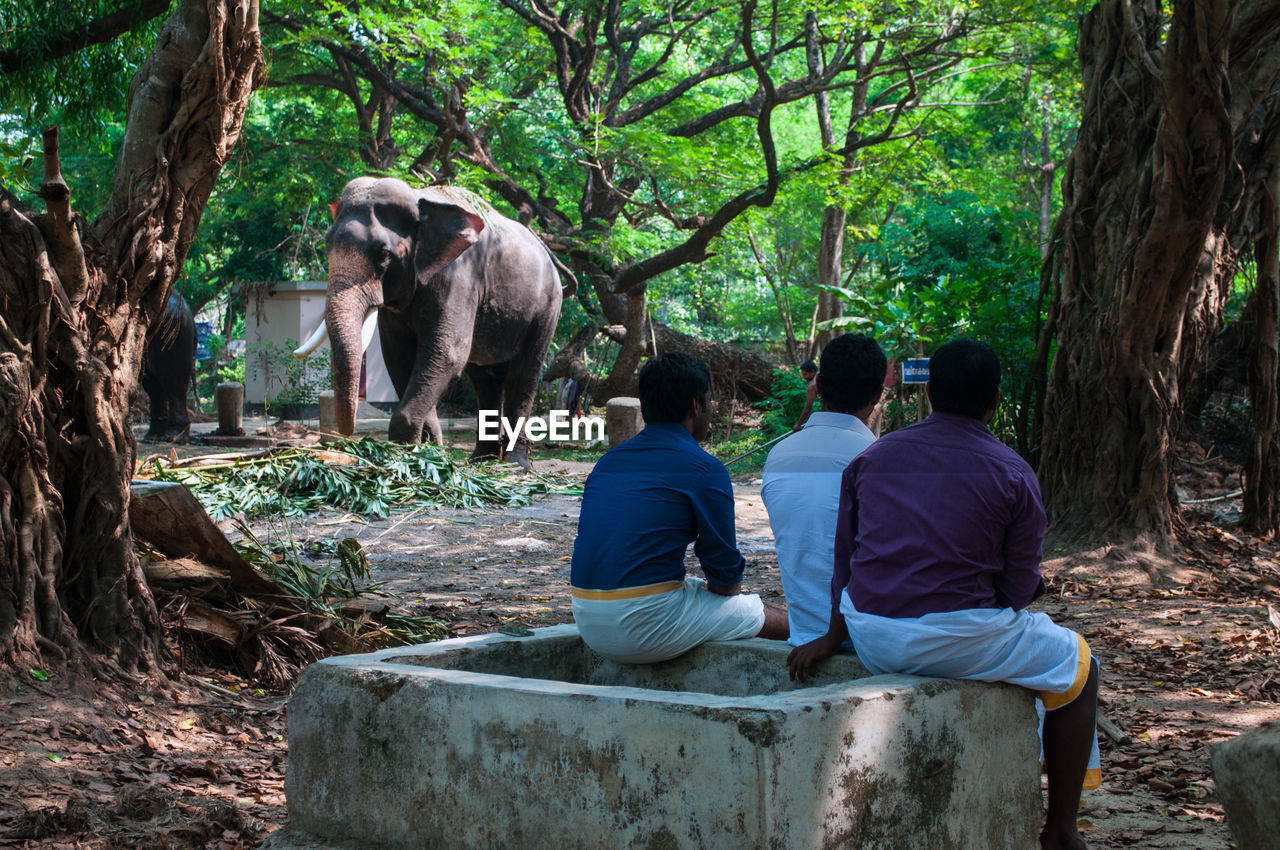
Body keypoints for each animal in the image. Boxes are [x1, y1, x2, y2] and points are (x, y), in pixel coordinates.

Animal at [302, 177, 568, 468]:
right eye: (327, 244)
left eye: (383, 253)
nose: (346, 435)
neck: (420, 200)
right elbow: (398, 358)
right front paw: (428, 451)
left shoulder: (459, 277)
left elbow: (447, 353)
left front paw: (407, 452)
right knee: (485, 379)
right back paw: (480, 462)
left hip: (547, 307)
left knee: (524, 374)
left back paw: (515, 465)